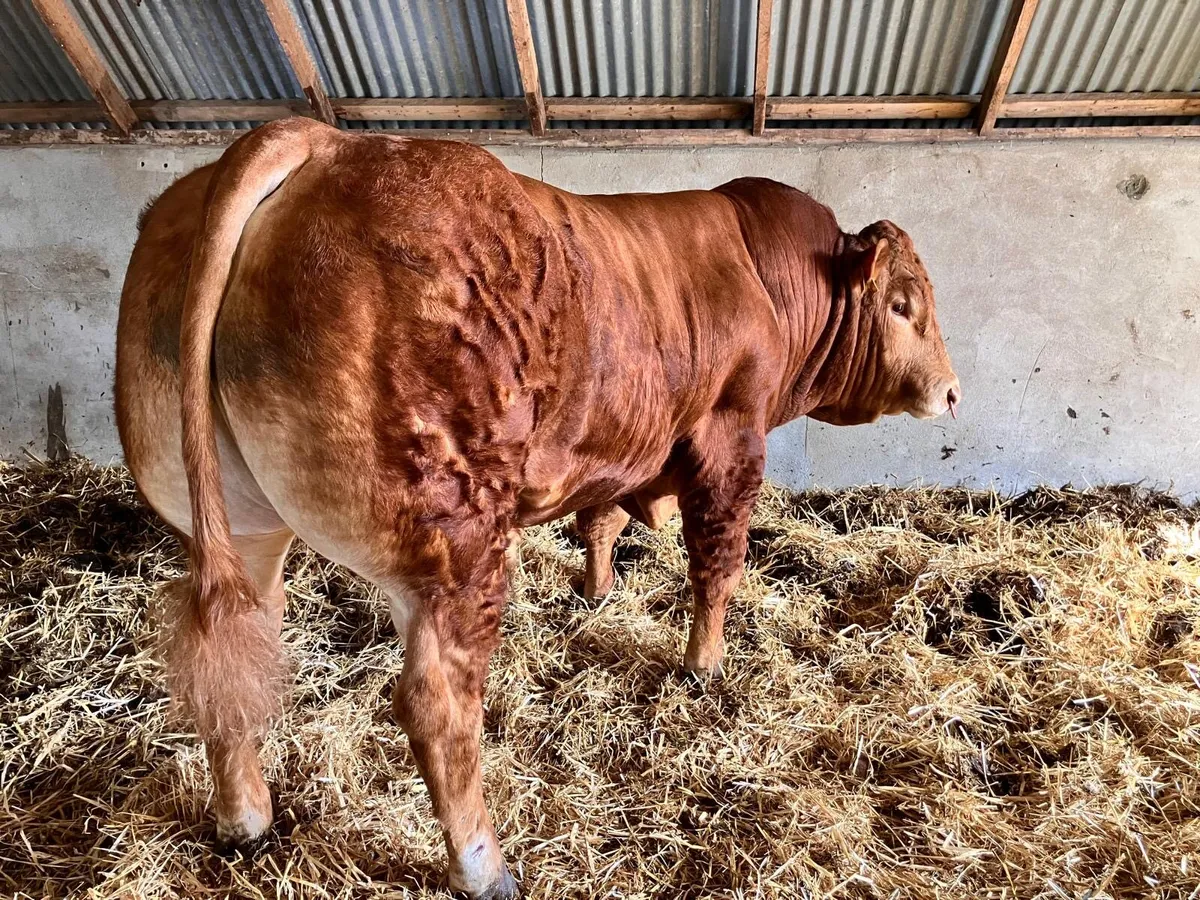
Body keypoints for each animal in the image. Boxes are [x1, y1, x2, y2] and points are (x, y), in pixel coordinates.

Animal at [114, 117, 959, 898]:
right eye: (903, 304)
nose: (952, 392)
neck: (767, 277)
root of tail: (324, 141)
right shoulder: (731, 439)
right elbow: (717, 564)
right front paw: (704, 664)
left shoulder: (617, 448)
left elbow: (602, 520)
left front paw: (597, 591)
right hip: (452, 543)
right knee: (437, 703)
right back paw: (482, 866)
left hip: (243, 529)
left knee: (230, 654)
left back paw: (244, 818)